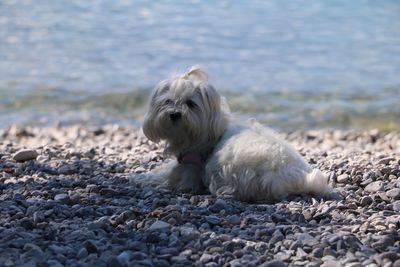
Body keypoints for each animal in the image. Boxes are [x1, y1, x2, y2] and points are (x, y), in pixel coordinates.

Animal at [143, 67, 332, 203]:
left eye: (190, 104)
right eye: (168, 101)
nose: (174, 114)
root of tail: (301, 179)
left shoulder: (189, 167)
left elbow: (168, 175)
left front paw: (144, 177)